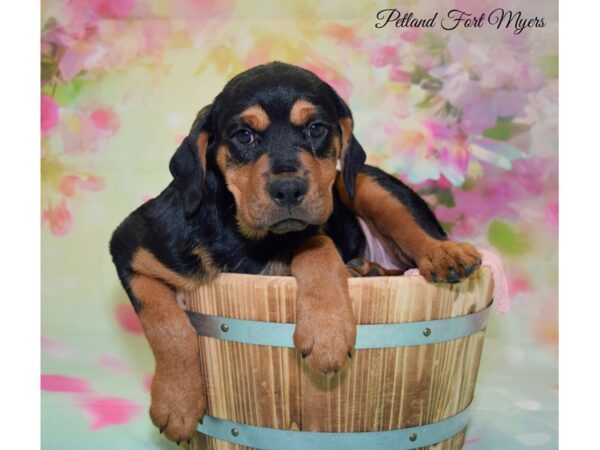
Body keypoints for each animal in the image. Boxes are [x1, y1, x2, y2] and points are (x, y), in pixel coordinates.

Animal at [109, 60, 482, 442]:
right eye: (244, 135)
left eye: (316, 129)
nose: (288, 190)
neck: (245, 236)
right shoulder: (131, 249)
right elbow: (164, 322)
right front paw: (177, 403)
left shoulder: (313, 226)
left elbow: (316, 244)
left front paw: (327, 332)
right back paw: (368, 269)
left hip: (361, 181)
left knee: (412, 228)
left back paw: (441, 254)